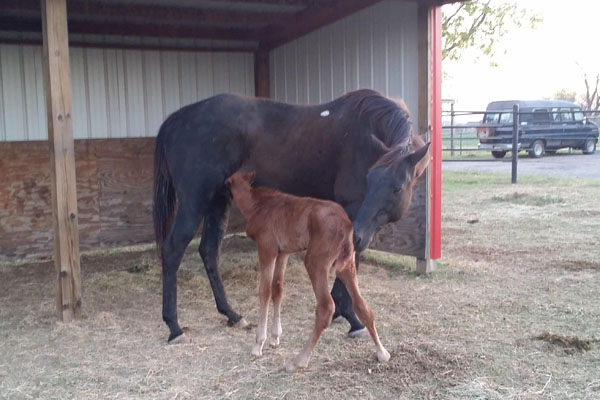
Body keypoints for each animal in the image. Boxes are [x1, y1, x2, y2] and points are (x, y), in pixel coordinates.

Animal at [225, 171, 390, 372]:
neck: (256, 204)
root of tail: (346, 224)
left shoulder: (267, 249)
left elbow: (265, 291)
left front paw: (258, 345)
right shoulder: (283, 253)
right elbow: (278, 289)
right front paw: (275, 338)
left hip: (315, 262)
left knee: (326, 307)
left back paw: (298, 361)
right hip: (346, 265)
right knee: (362, 306)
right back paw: (382, 352)